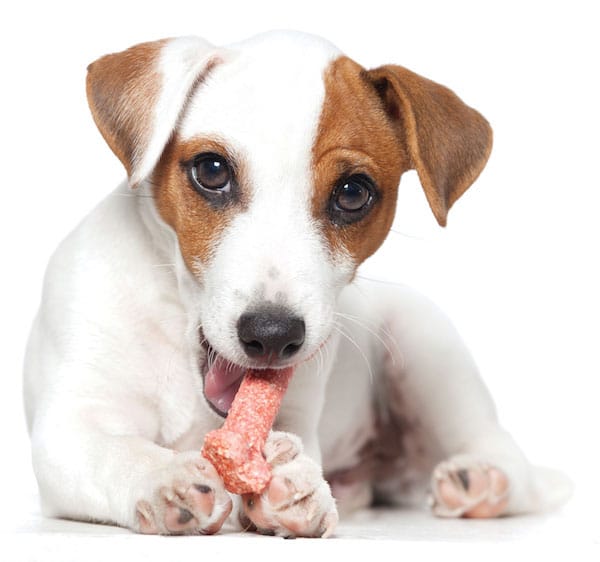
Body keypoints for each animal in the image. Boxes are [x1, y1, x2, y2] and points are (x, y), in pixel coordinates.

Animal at [22, 31, 568, 540]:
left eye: (352, 193)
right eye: (211, 170)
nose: (272, 335)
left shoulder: (300, 410)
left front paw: (296, 484)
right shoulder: (67, 429)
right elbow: (112, 451)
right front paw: (164, 477)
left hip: (428, 349)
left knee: (505, 453)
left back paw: (482, 482)